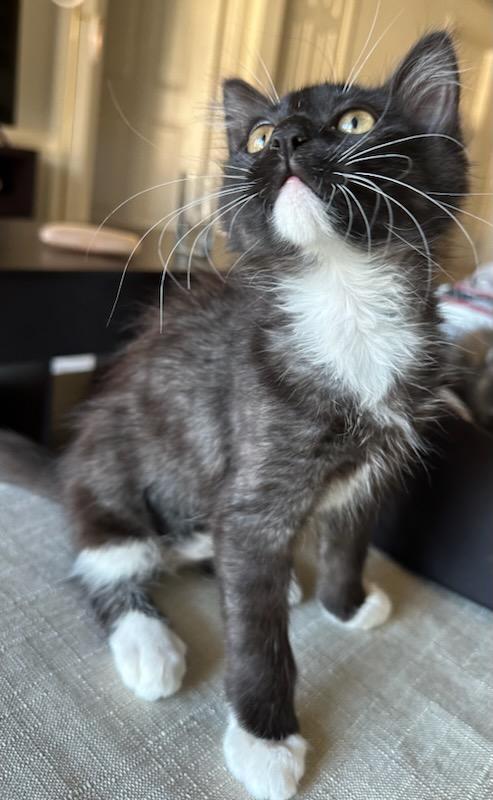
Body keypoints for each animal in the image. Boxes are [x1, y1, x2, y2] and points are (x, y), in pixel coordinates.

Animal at [64, 31, 466, 800]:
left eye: (356, 122)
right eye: (254, 136)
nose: (283, 138)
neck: (343, 301)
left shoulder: (373, 470)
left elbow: (349, 539)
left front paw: (347, 603)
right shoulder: (254, 493)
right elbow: (256, 635)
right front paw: (265, 738)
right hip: (109, 468)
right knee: (106, 560)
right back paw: (149, 645)